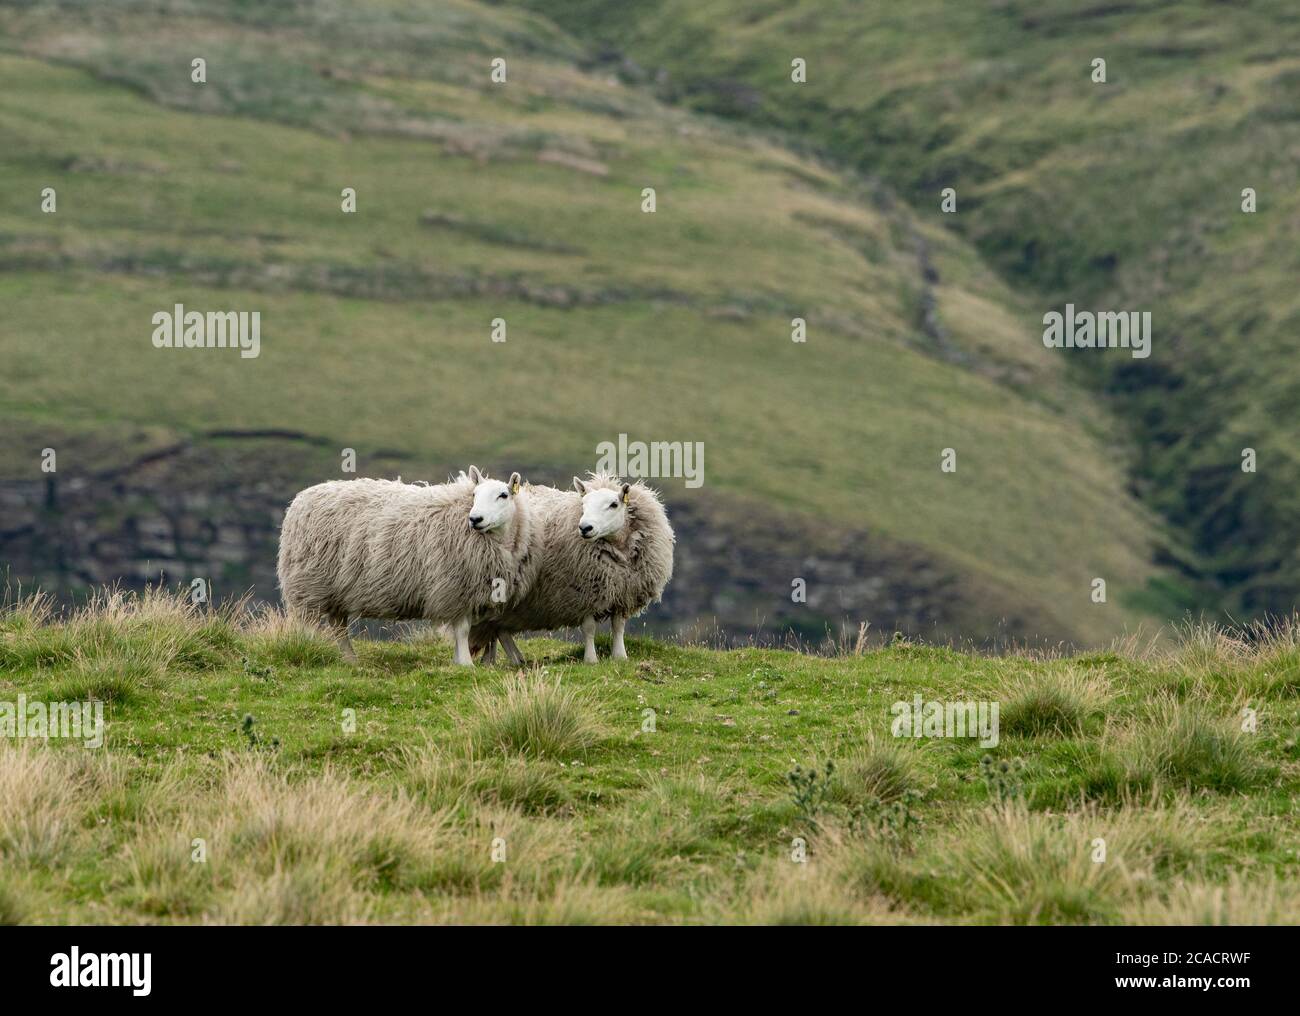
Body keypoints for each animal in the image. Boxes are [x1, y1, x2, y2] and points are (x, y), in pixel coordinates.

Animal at [274, 465, 538, 665]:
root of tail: (300, 499)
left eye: (503, 495)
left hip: (336, 589)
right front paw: (465, 663)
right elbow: (462, 630)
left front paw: (458, 661)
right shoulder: (454, 588)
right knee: (308, 624)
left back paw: (350, 659)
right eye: (474, 494)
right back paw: (310, 648)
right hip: (308, 585)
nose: (475, 519)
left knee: (339, 627)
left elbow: (461, 631)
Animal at [470, 475, 676, 670]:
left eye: (614, 504)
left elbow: (618, 627)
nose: (585, 527)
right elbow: (589, 628)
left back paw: (505, 659)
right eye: (583, 504)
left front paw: (620, 656)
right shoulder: (581, 593)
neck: (618, 548)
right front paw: (591, 659)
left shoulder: (622, 593)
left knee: (499, 628)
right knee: (497, 628)